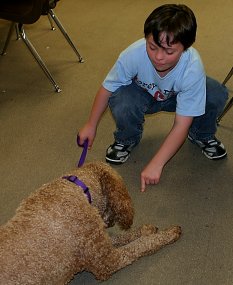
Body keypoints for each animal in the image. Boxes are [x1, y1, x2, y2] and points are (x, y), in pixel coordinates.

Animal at [0, 161, 182, 282]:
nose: (110, 223)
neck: (78, 188)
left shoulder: (96, 240)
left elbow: (123, 238)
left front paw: (146, 230)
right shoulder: (107, 261)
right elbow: (141, 246)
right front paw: (167, 234)